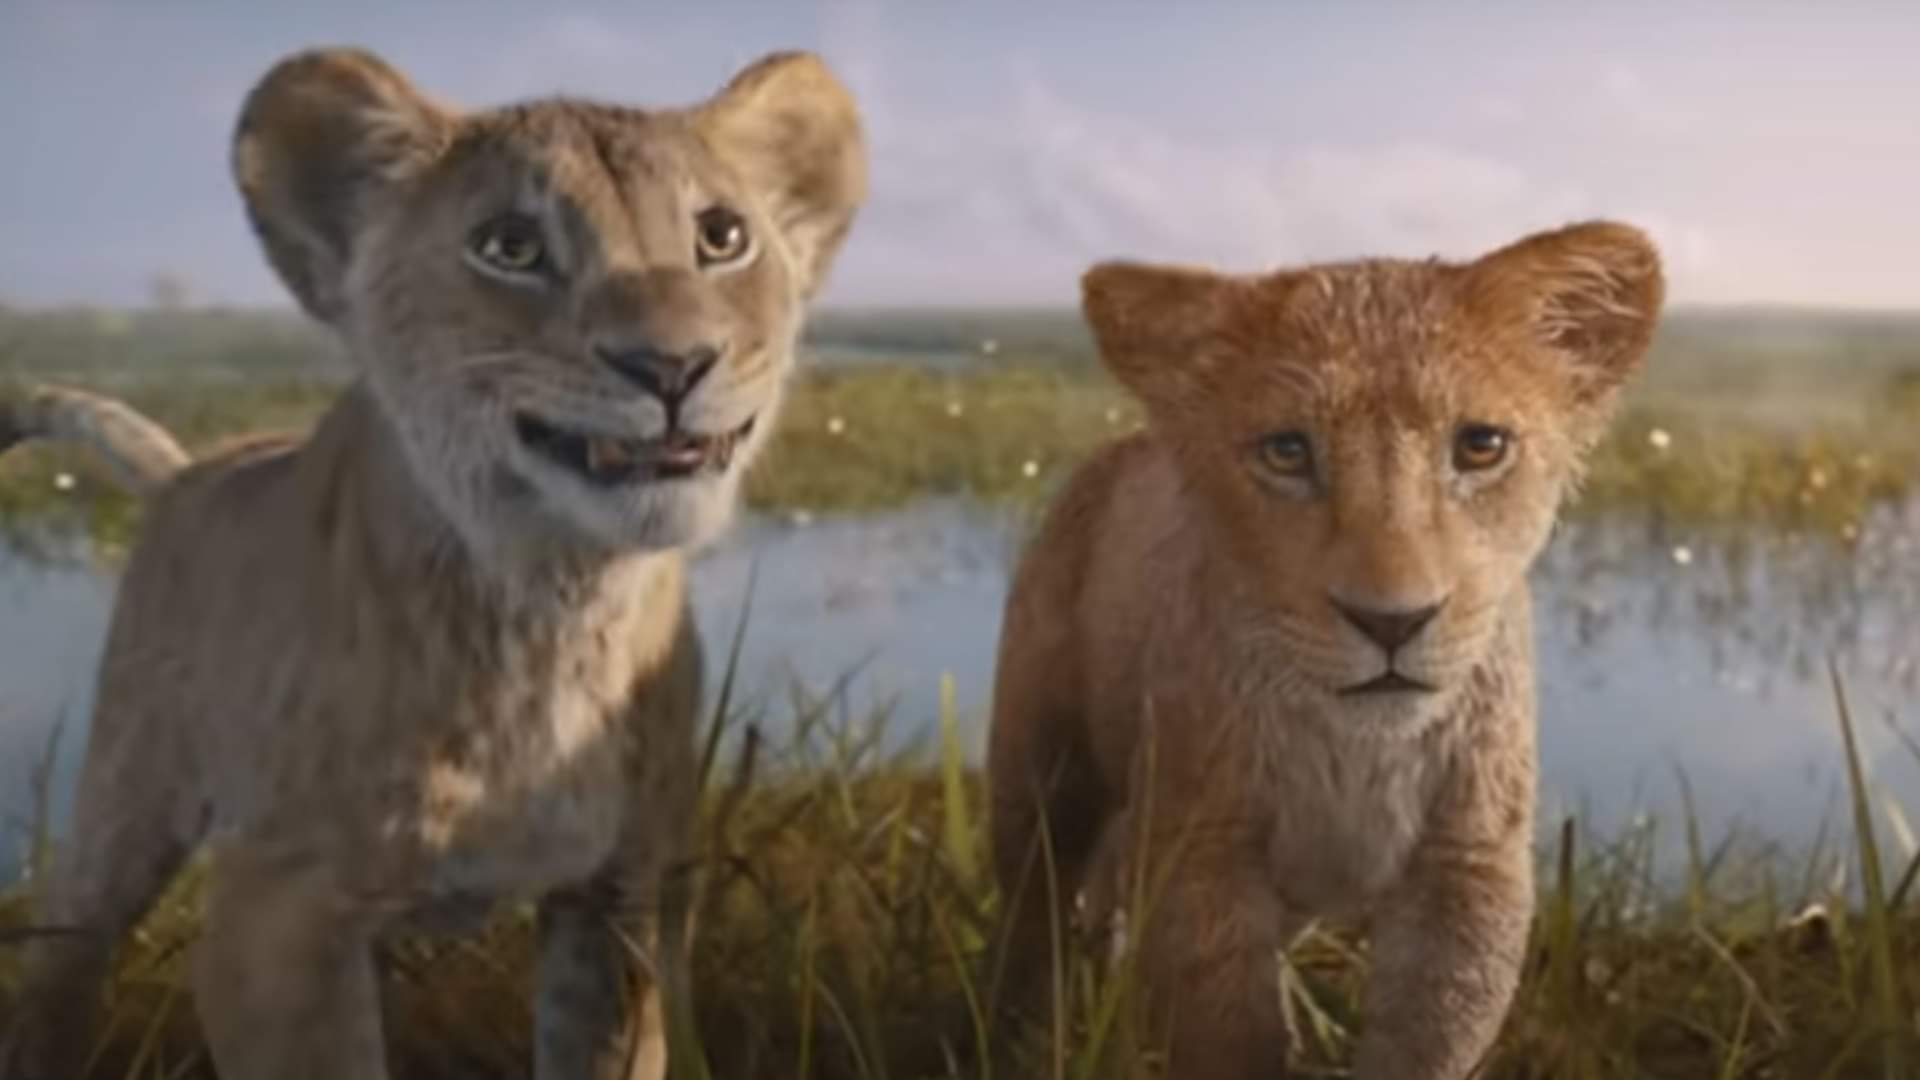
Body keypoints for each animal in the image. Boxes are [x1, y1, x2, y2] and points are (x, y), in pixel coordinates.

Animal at [0, 45, 864, 1080]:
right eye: (511, 247)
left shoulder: (615, 897)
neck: (556, 602)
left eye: (722, 236)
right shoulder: (272, 916)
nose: (673, 365)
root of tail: (191, 471)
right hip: (124, 800)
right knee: (61, 958)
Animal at [985, 221, 1663, 1078]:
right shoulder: (1201, 851)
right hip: (1040, 773)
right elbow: (1231, 1041)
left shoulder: (1467, 868)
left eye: (1481, 445)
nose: (1392, 621)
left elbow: (1428, 1042)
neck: (1354, 747)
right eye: (1286, 451)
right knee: (1032, 917)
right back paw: (1024, 1036)